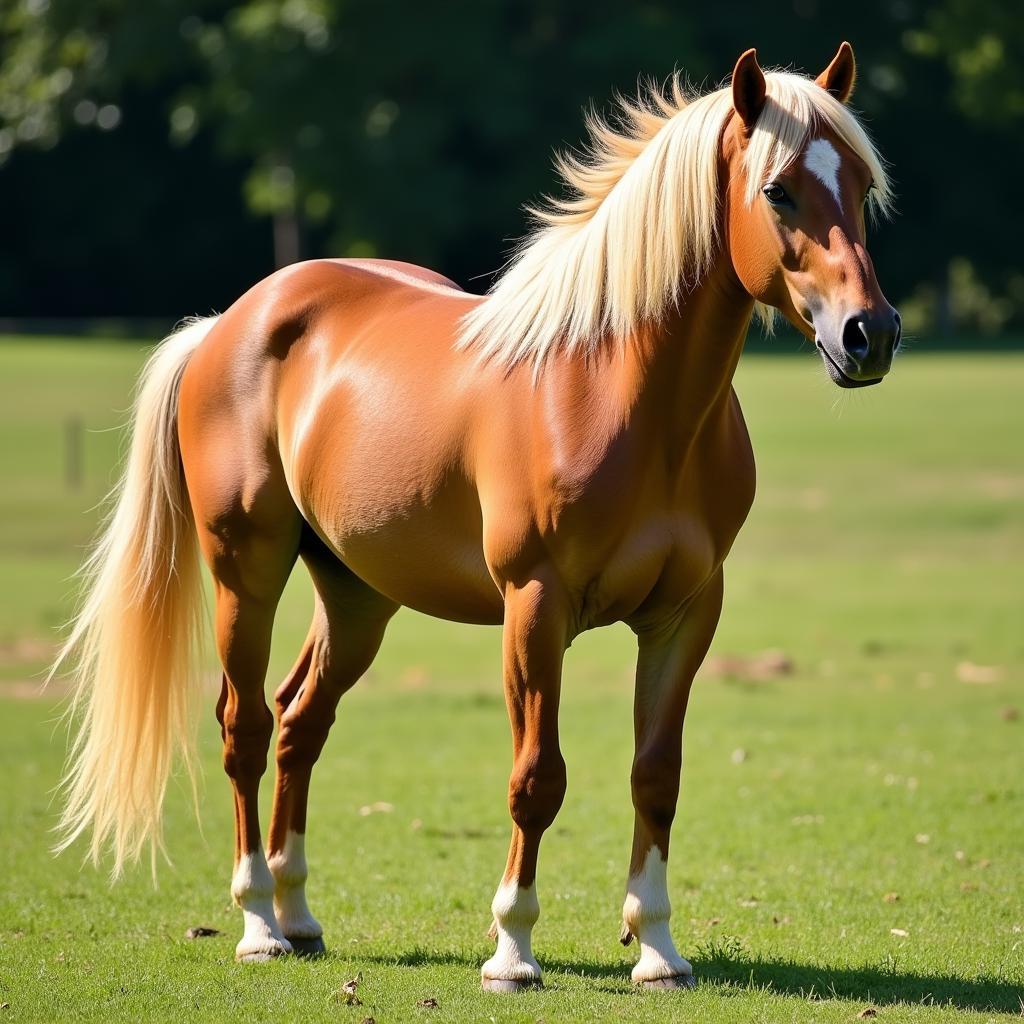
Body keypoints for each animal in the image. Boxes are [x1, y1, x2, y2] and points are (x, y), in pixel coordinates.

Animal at [54, 46, 897, 991]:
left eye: (861, 183)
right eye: (779, 190)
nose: (870, 333)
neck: (620, 395)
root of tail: (228, 325)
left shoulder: (685, 614)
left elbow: (656, 775)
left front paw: (657, 949)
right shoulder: (535, 606)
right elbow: (537, 779)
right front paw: (513, 949)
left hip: (357, 595)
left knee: (301, 721)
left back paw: (300, 915)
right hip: (248, 571)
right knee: (246, 727)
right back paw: (259, 923)